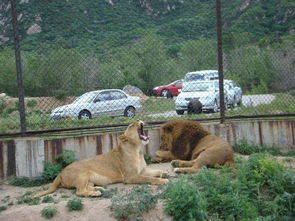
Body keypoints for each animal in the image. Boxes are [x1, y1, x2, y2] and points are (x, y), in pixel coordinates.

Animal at [34, 120, 169, 198]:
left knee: (85, 187)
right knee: (79, 191)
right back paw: (95, 193)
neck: (138, 150)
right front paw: (163, 181)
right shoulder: (130, 177)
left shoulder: (142, 170)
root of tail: (60, 173)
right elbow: (149, 178)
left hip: (89, 180)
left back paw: (98, 188)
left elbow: (155, 171)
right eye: (131, 125)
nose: (138, 119)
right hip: (82, 174)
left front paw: (165, 172)